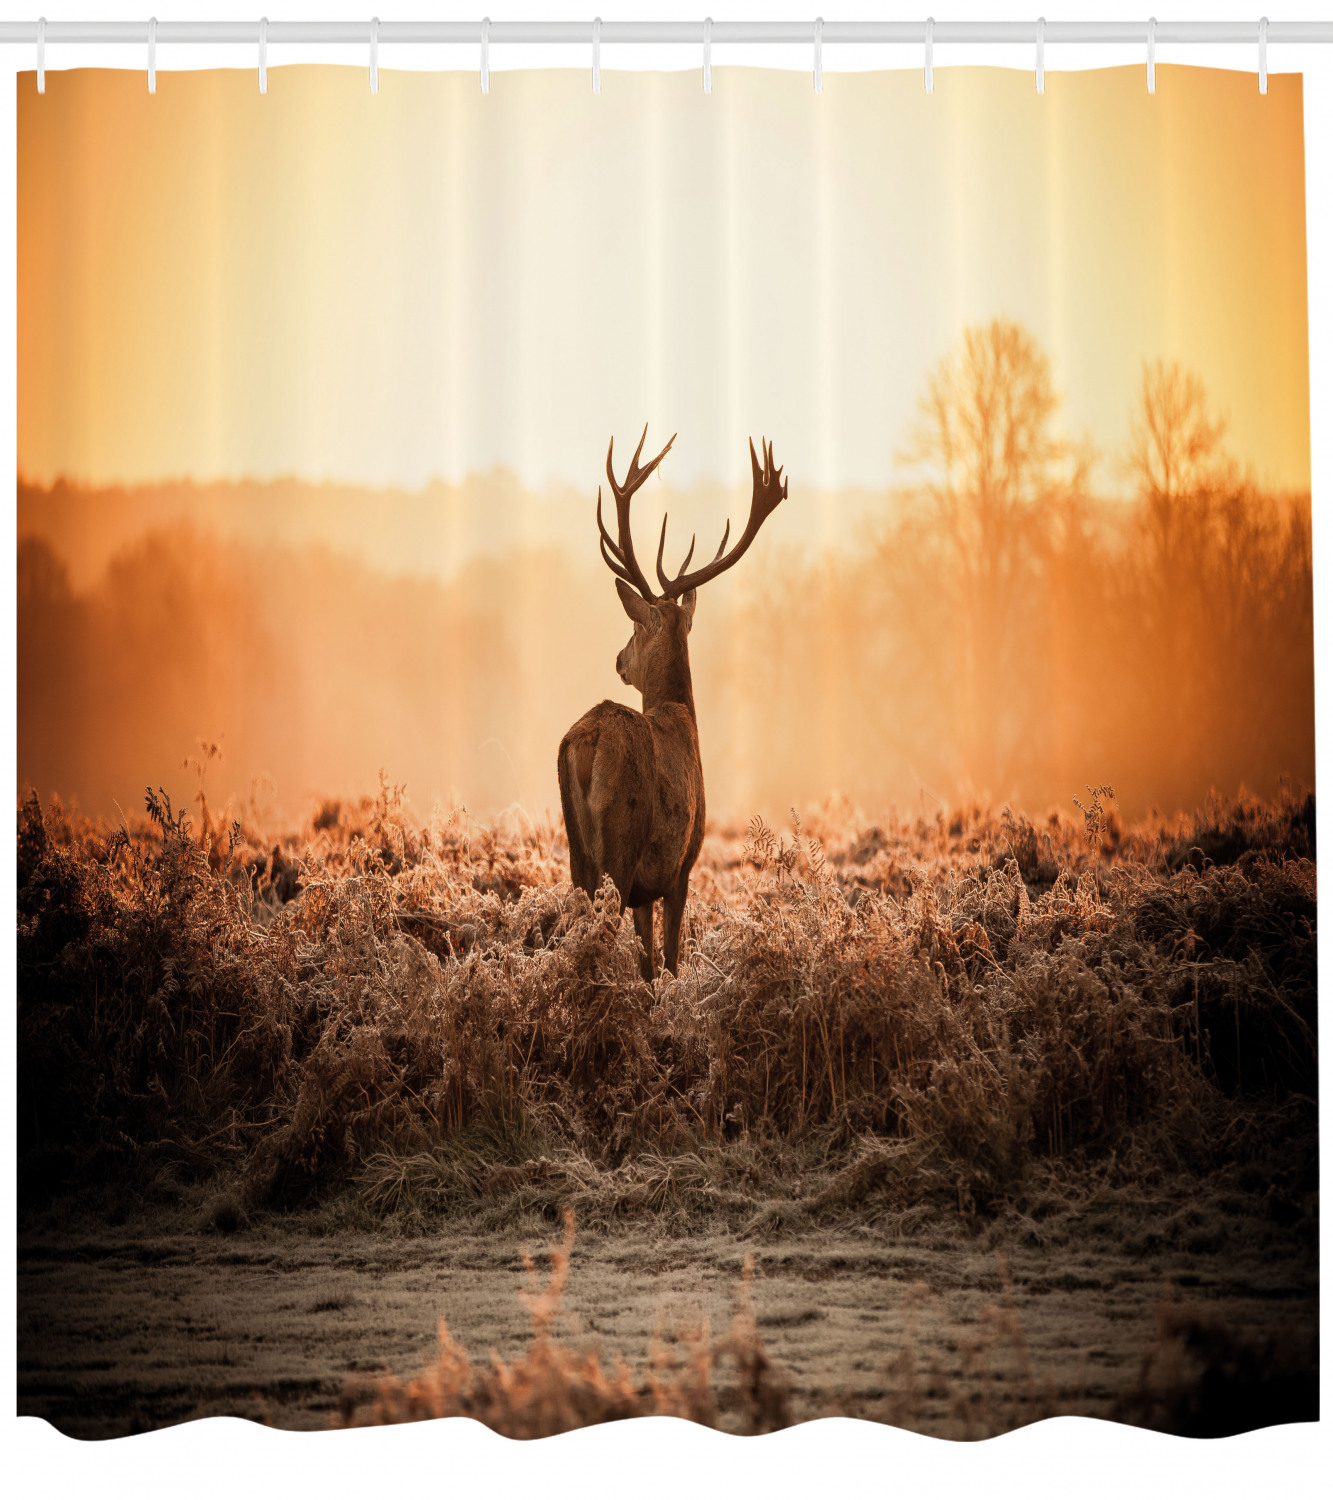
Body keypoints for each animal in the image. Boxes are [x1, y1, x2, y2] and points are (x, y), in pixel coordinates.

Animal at [558, 427, 788, 982]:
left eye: (635, 627)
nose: (619, 658)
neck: (683, 715)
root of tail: (586, 740)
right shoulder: (682, 863)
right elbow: (671, 956)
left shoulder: (650, 886)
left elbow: (647, 961)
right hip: (621, 846)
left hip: (577, 852)